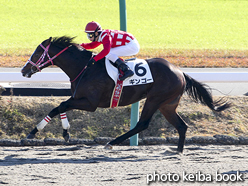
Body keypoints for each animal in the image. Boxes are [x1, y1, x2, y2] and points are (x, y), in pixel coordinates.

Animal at [21, 36, 231, 153]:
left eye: (37, 52)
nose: (24, 70)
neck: (84, 68)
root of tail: (180, 72)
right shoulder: (78, 99)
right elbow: (59, 106)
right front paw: (61, 132)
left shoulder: (90, 103)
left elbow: (61, 105)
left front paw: (39, 132)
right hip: (167, 104)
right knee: (181, 126)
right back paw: (178, 151)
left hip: (155, 99)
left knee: (142, 124)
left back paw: (111, 142)